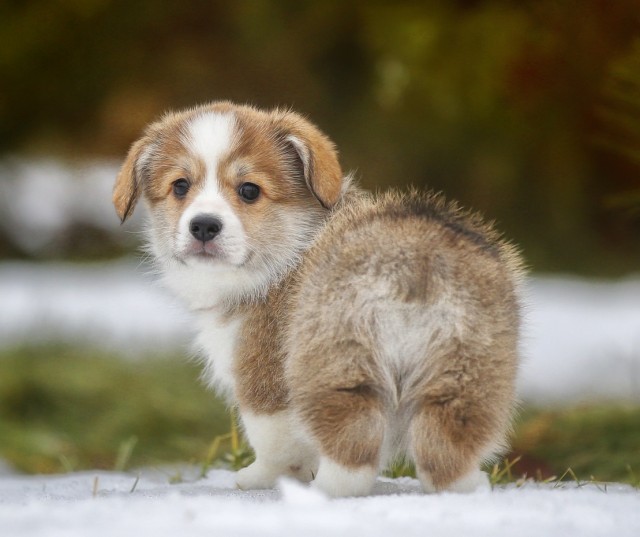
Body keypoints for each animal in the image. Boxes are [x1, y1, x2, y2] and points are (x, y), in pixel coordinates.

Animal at [114, 101, 524, 498]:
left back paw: (325, 491)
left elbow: (274, 444)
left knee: (352, 450)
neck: (291, 250)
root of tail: (415, 261)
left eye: (249, 190)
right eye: (180, 186)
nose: (203, 226)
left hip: (337, 365)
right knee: (447, 453)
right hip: (468, 371)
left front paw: (259, 477)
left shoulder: (263, 380)